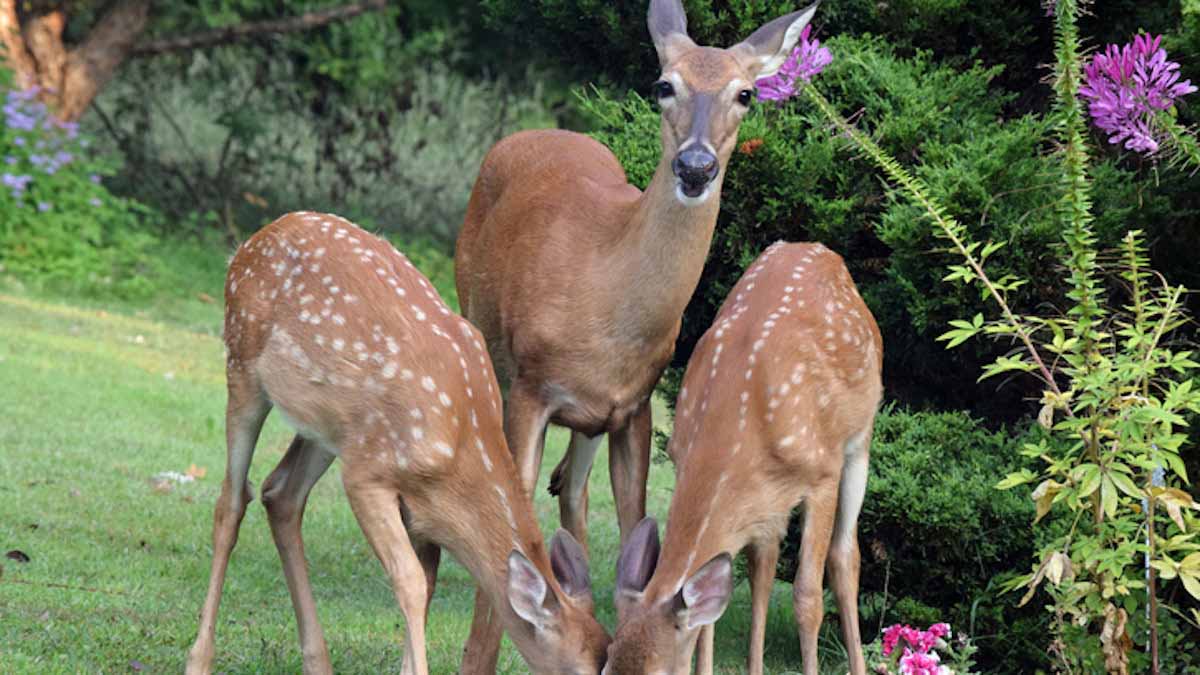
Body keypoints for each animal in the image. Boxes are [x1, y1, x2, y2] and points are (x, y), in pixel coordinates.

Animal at [184, 211, 609, 672]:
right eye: (584, 669)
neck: (460, 447)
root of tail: (255, 238)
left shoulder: (416, 507)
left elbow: (426, 581)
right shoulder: (367, 476)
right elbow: (410, 581)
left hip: (329, 429)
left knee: (280, 494)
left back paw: (318, 661)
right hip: (242, 364)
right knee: (230, 503)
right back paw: (199, 659)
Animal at [453, 1, 820, 667]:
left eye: (746, 93)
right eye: (663, 84)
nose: (696, 166)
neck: (607, 298)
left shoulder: (634, 406)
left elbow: (633, 523)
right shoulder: (530, 391)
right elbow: (513, 520)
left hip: (591, 418)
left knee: (572, 491)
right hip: (484, 333)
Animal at [604, 241, 878, 672]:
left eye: (658, 670)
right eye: (607, 660)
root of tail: (818, 249)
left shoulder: (822, 474)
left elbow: (807, 597)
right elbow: (716, 609)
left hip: (860, 439)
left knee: (844, 558)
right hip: (770, 504)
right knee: (763, 569)